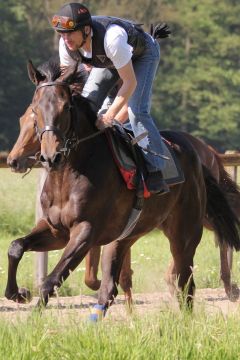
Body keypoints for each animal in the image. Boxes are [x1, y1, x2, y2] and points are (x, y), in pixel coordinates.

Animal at [4, 60, 239, 314]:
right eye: (34, 110)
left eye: (66, 107)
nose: (51, 156)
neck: (68, 176)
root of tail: (199, 153)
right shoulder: (57, 230)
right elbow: (16, 246)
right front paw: (18, 293)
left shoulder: (85, 231)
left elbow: (52, 280)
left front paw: (34, 314)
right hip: (129, 234)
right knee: (113, 288)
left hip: (186, 231)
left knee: (187, 281)